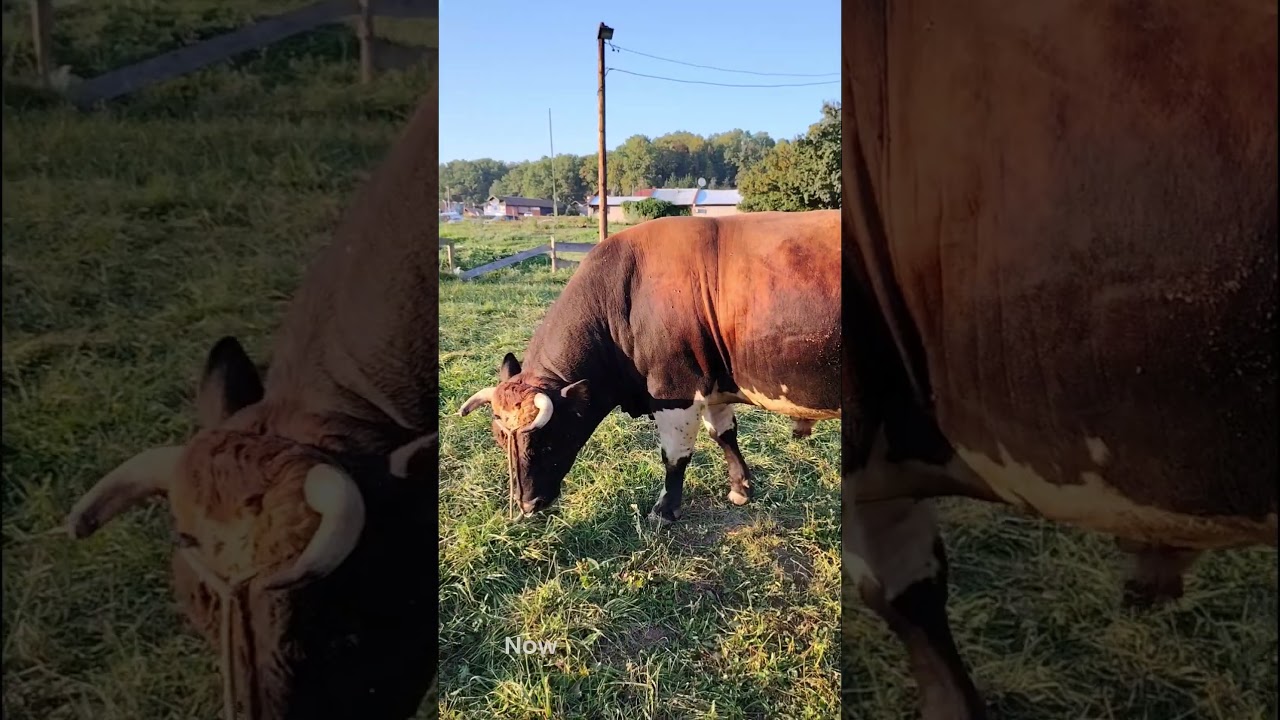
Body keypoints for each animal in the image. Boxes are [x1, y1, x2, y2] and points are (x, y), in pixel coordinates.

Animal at [457, 210, 841, 523]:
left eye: (549, 440)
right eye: (499, 438)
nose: (526, 504)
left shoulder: (674, 389)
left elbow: (674, 455)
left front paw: (665, 510)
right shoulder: (712, 384)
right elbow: (724, 434)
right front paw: (740, 488)